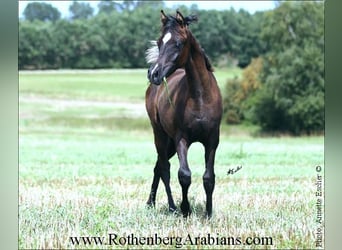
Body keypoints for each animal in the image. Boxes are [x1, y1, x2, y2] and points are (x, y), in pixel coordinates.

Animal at [144, 10, 222, 217]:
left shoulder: (212, 140)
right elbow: (184, 175)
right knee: (164, 168)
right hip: (161, 135)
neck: (200, 97)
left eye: (178, 43)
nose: (153, 73)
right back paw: (171, 207)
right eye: (159, 42)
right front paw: (185, 209)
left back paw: (150, 203)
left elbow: (209, 177)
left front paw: (208, 213)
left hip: (169, 143)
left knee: (158, 167)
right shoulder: (181, 138)